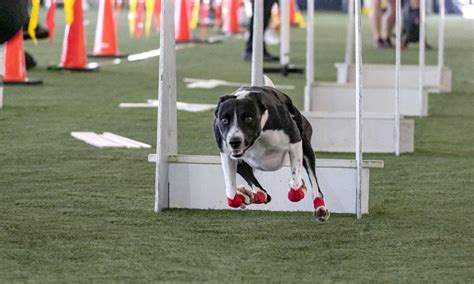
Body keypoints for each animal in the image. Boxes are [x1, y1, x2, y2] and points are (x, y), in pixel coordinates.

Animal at [214, 85, 330, 222]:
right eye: (224, 120)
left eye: (248, 118)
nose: (234, 141)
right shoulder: (227, 154)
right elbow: (232, 196)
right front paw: (243, 196)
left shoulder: (295, 142)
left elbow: (295, 187)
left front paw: (300, 187)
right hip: (241, 163)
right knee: (262, 192)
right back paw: (249, 195)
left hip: (306, 147)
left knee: (313, 179)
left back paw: (320, 208)